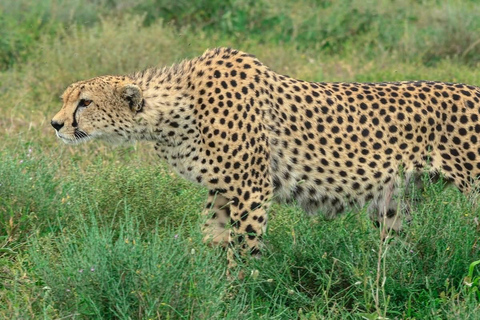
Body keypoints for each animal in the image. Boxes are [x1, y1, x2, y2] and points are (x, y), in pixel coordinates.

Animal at [50, 47, 480, 268]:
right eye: (67, 99)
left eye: (84, 102)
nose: (55, 124)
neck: (177, 109)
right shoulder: (221, 190)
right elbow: (213, 236)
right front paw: (210, 282)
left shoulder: (252, 188)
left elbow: (244, 247)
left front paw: (239, 293)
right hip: (393, 203)